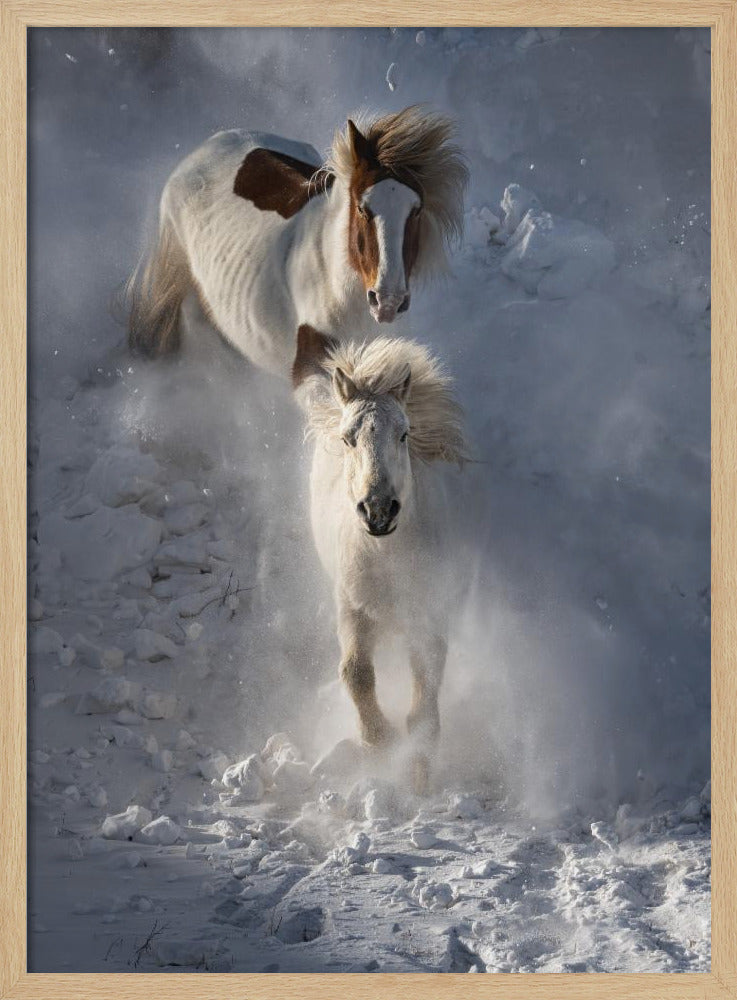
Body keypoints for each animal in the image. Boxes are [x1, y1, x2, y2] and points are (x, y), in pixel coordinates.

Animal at [292, 324, 467, 792]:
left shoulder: (429, 615)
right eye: (348, 437)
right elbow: (355, 672)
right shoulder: (353, 609)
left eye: (403, 434)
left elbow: (424, 689)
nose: (378, 511)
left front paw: (418, 772)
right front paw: (379, 741)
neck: (389, 560)